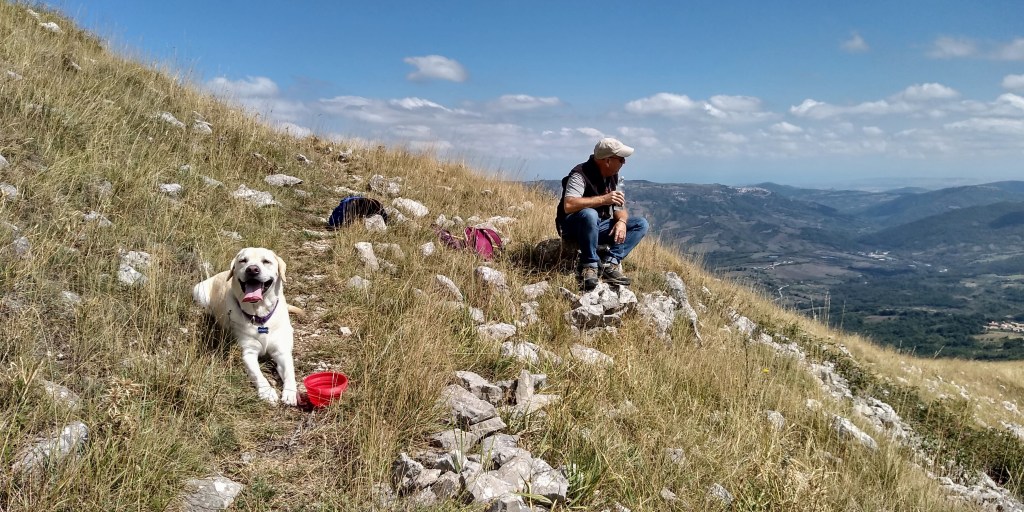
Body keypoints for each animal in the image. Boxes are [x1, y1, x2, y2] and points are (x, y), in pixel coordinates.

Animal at [193, 247, 299, 406]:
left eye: (266, 261)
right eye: (243, 260)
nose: (252, 269)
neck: (259, 316)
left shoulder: (282, 351)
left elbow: (289, 372)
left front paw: (290, 392)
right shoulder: (248, 353)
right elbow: (258, 374)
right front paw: (267, 392)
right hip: (199, 292)